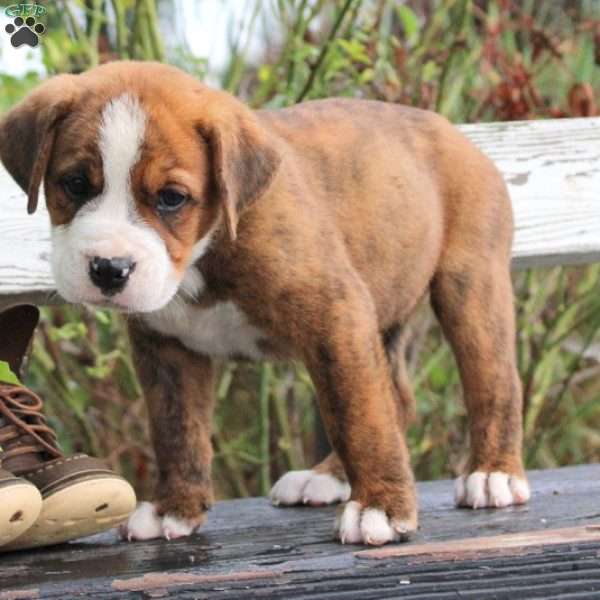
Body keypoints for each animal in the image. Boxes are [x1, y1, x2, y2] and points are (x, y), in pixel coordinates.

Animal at [0, 62, 528, 548]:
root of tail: (452, 130)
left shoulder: (337, 317)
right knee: (394, 395)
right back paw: (328, 476)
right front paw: (176, 508)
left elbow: (360, 418)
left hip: (469, 286)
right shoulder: (168, 349)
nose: (109, 268)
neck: (207, 249)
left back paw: (493, 473)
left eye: (171, 198)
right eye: (74, 184)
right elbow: (177, 430)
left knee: (492, 383)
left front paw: (381, 507)